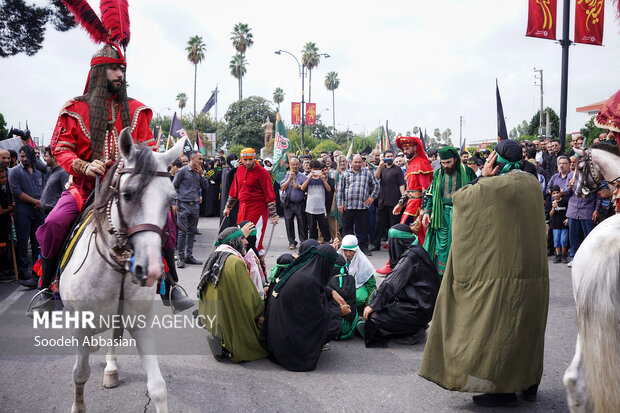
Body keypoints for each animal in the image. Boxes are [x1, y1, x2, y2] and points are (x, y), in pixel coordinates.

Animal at [58, 130, 184, 412]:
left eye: (171, 200)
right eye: (127, 194)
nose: (149, 269)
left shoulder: (141, 323)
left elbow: (158, 388)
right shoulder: (79, 326)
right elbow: (79, 373)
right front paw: (77, 406)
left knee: (114, 339)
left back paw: (111, 368)